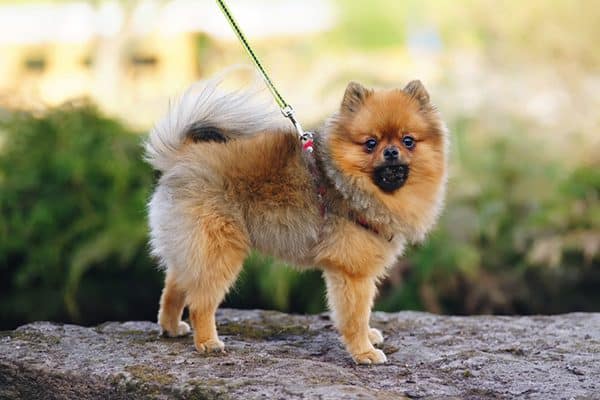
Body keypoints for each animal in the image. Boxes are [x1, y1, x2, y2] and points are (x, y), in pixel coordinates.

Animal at [144, 70, 446, 364]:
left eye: (408, 141)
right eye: (370, 144)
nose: (391, 151)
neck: (349, 183)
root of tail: (182, 156)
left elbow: (363, 312)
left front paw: (369, 337)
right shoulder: (351, 270)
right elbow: (355, 316)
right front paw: (364, 352)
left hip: (192, 246)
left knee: (174, 285)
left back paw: (171, 328)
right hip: (219, 251)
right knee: (200, 302)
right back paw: (208, 342)